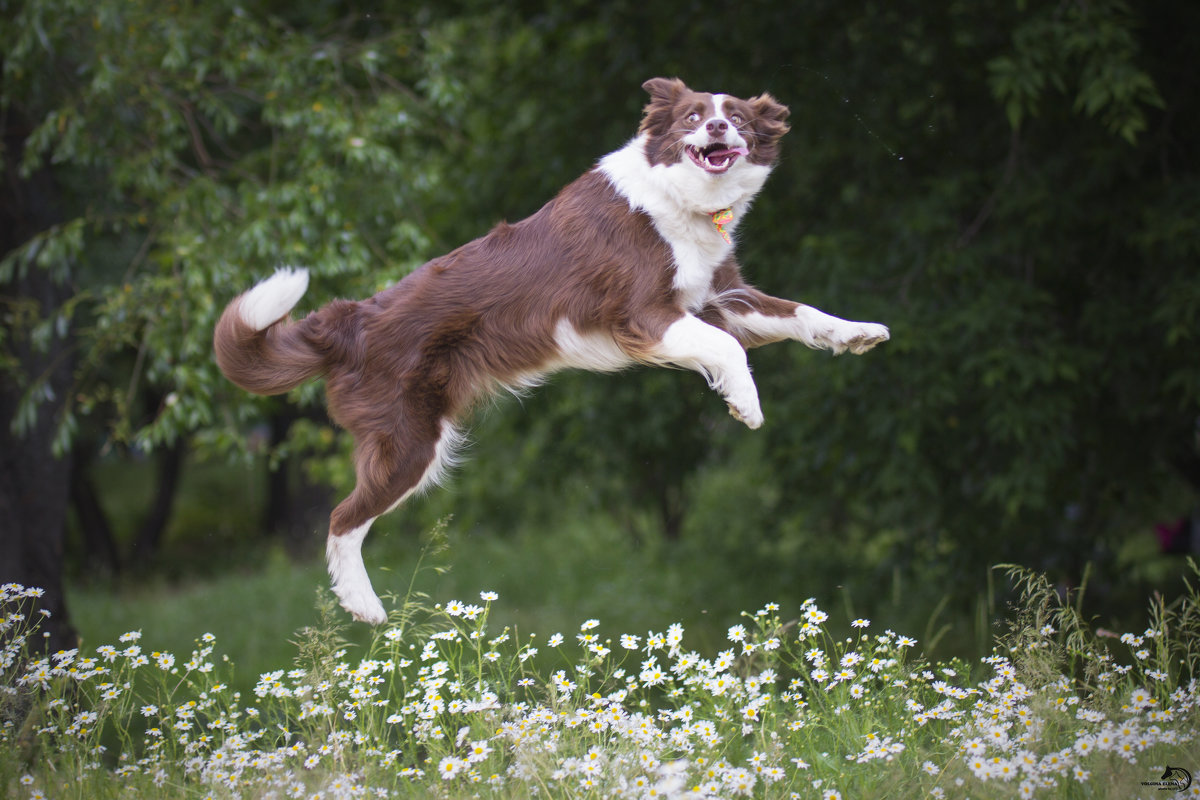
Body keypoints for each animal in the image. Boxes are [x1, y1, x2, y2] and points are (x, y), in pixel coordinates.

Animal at [213, 76, 892, 623]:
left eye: (741, 120)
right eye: (693, 117)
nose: (720, 128)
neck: (680, 199)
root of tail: (349, 320)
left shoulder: (719, 294)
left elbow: (797, 313)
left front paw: (856, 331)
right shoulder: (646, 316)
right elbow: (728, 349)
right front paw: (745, 406)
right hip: (410, 440)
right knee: (341, 521)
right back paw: (364, 605)